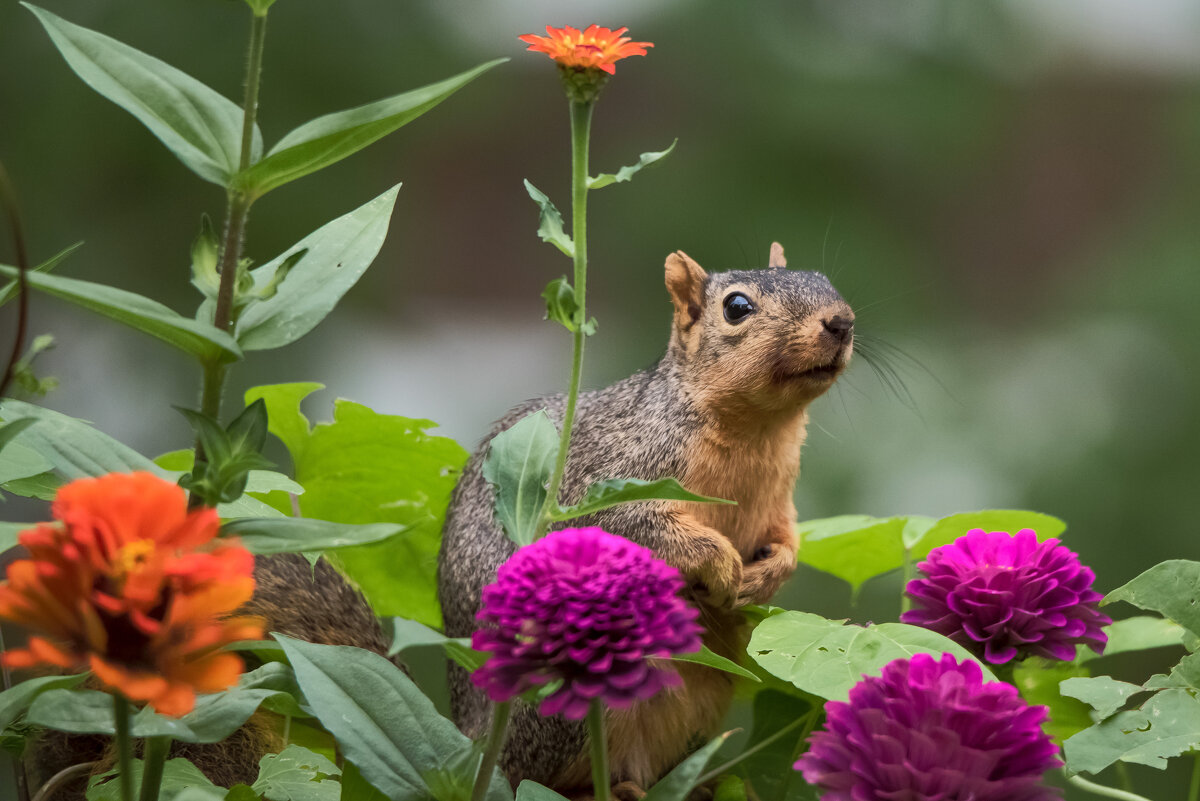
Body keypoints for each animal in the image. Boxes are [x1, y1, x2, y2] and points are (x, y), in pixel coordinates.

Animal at [439, 244, 854, 796]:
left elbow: (786, 541)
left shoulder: (779, 506)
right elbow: (641, 528)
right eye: (736, 307)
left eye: (824, 279)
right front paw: (722, 564)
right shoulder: (612, 482)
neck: (759, 432)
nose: (842, 321)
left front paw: (766, 575)